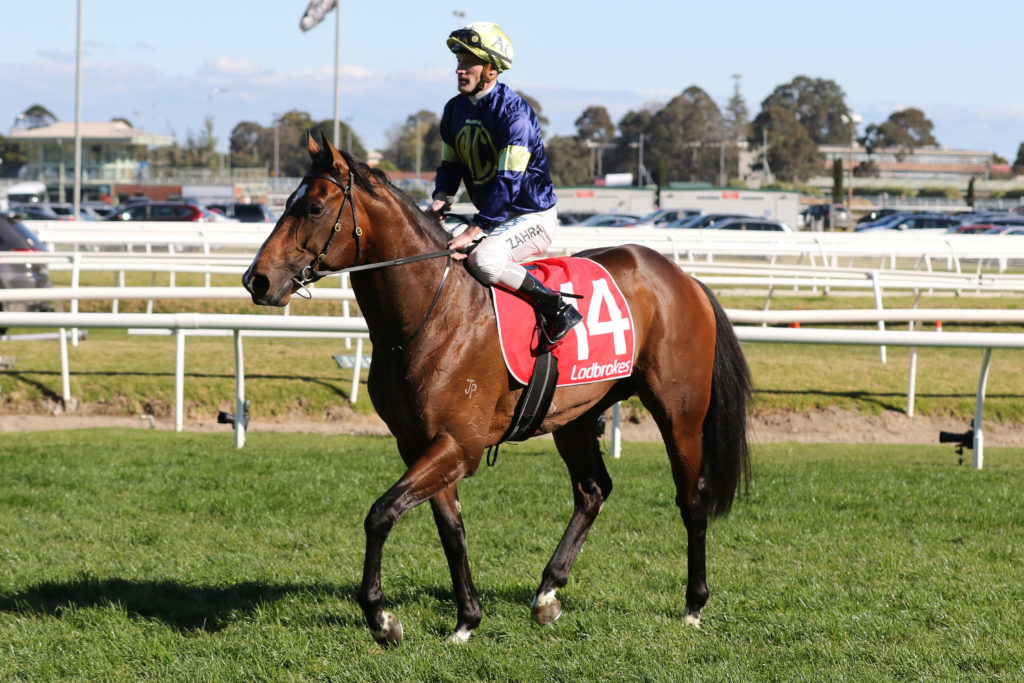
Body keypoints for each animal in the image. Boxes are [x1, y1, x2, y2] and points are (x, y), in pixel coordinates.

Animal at [242, 133, 752, 646]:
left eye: (312, 207)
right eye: (286, 203)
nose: (256, 280)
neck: (431, 313)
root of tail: (683, 277)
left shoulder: (457, 444)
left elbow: (381, 513)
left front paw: (381, 618)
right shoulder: (420, 444)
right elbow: (451, 529)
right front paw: (466, 619)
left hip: (679, 412)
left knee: (692, 498)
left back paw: (694, 605)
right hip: (576, 415)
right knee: (593, 490)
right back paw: (546, 594)